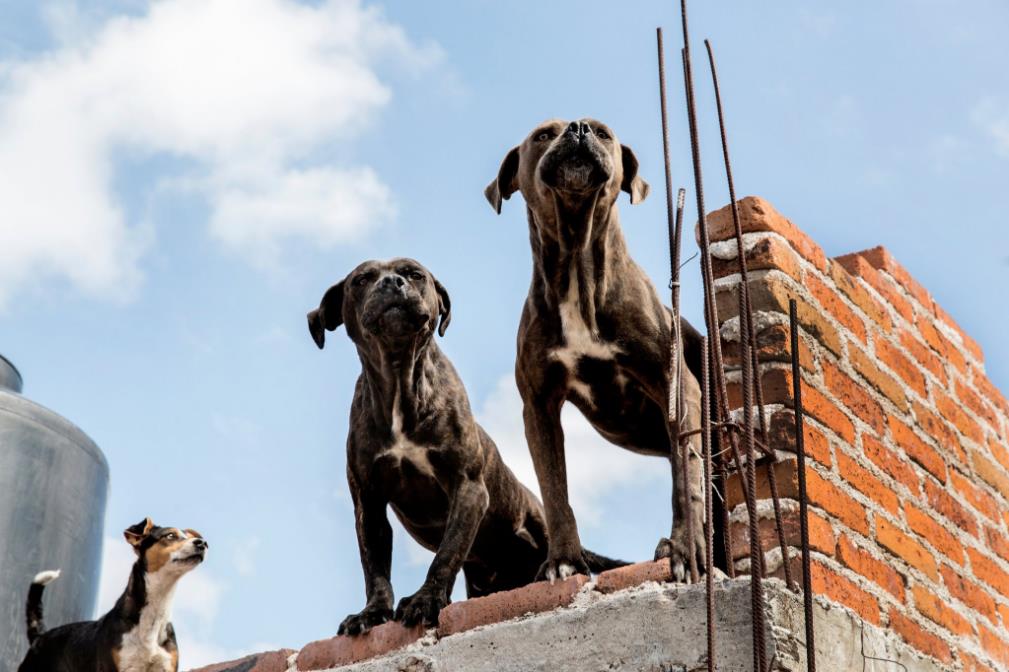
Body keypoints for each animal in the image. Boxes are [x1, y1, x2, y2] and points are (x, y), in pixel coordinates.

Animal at [484, 119, 706, 581]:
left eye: (604, 133)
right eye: (542, 135)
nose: (579, 128)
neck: (577, 265)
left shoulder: (676, 387)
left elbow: (684, 477)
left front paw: (684, 548)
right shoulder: (539, 407)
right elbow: (554, 490)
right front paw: (564, 559)